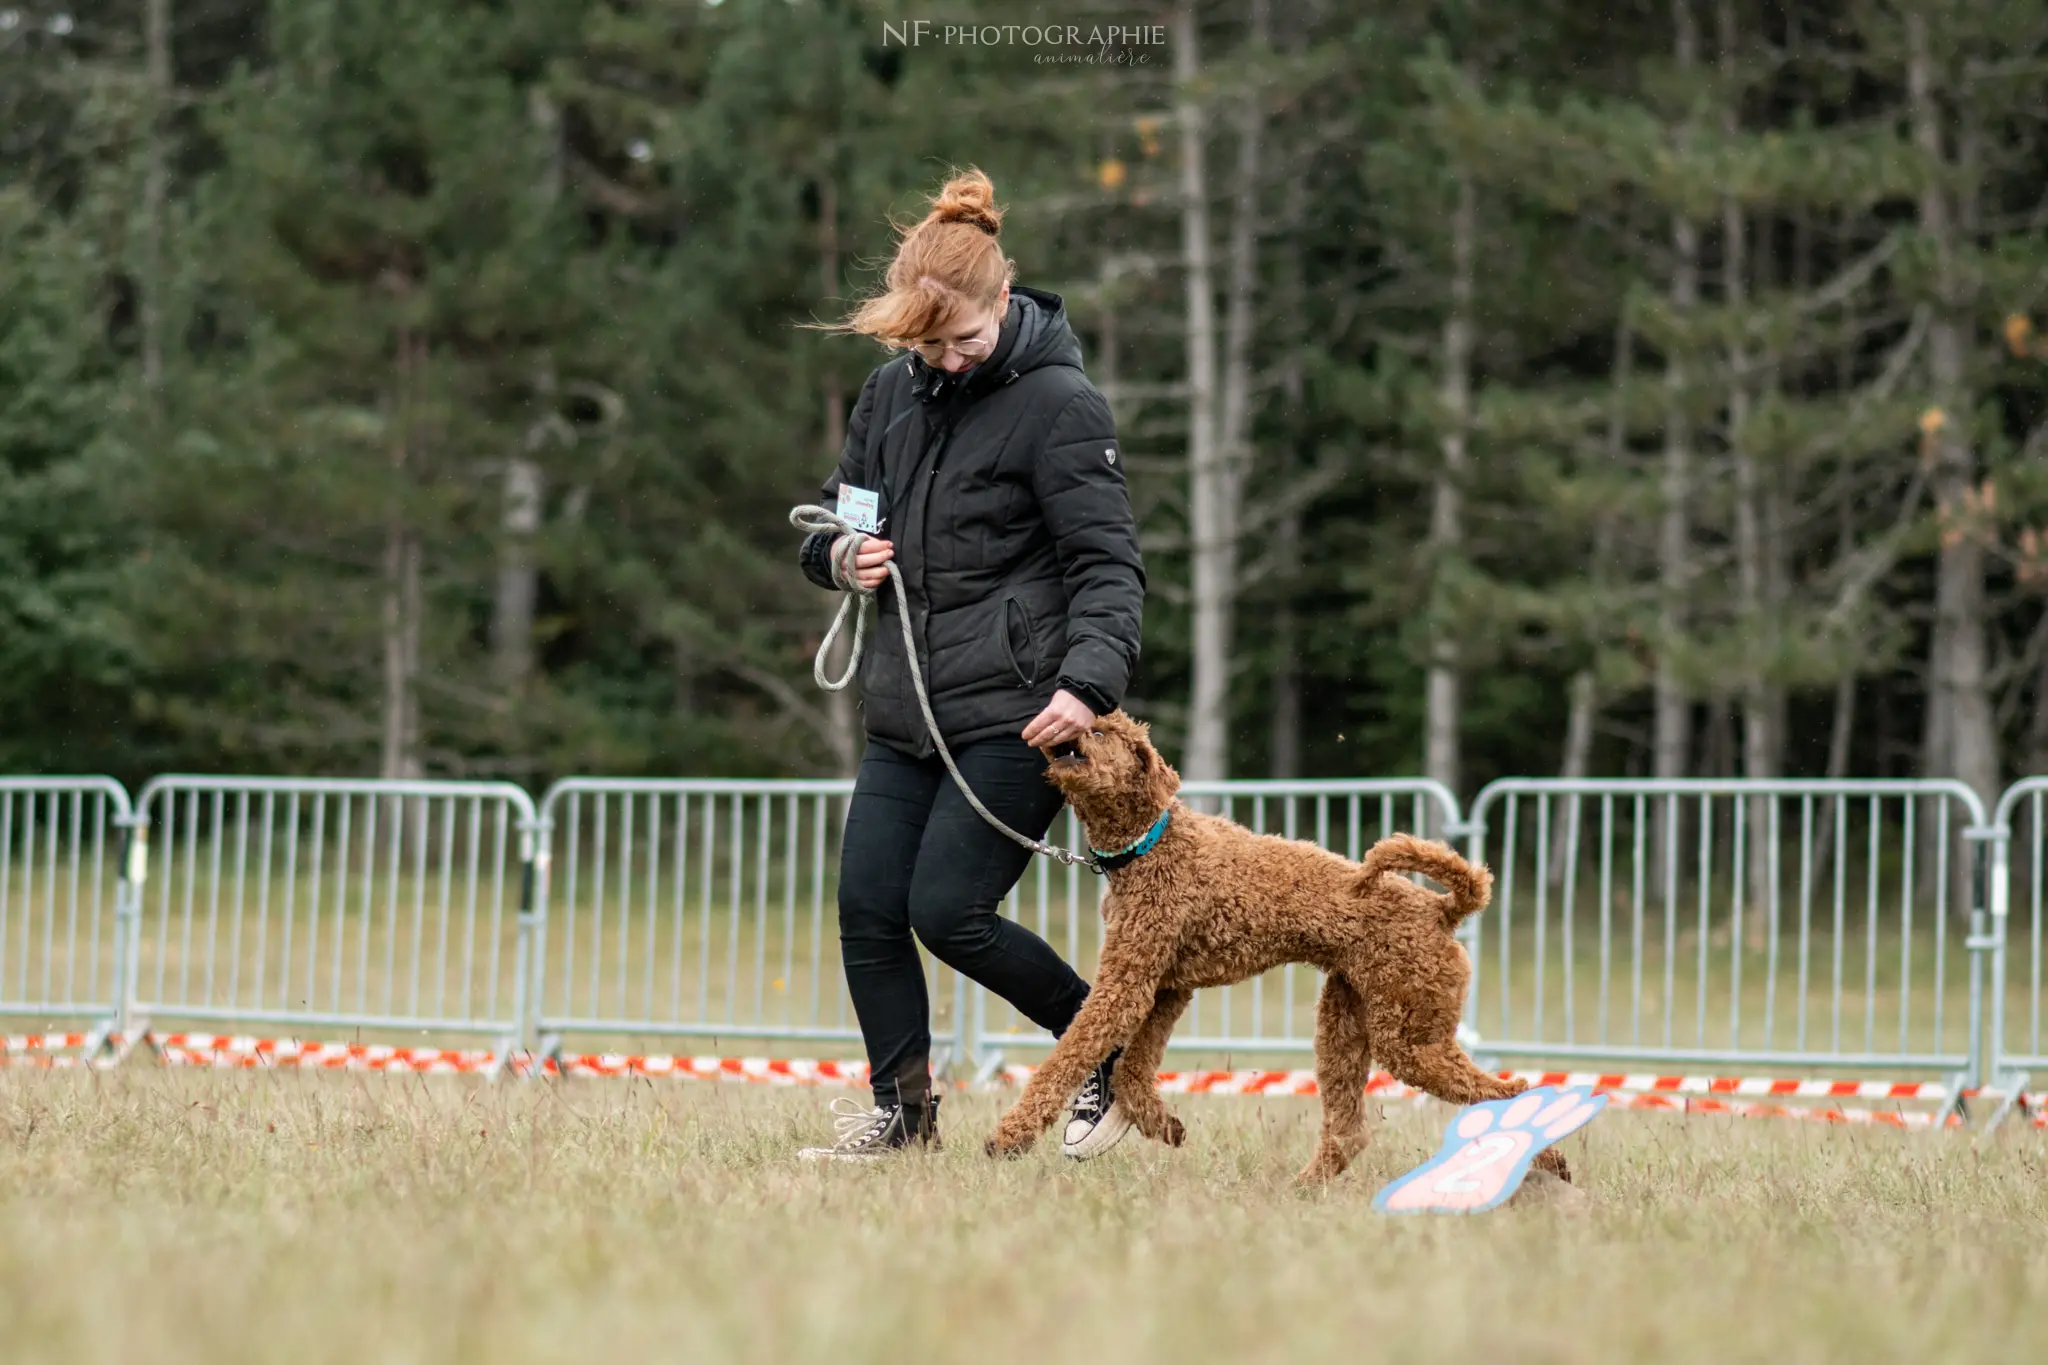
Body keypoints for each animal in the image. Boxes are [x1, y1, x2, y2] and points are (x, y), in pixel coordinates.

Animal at [983, 712, 1572, 1186]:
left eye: (1101, 731)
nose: (1054, 731)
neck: (1150, 842)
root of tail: (1444, 909)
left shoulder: (1128, 983)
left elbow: (1072, 1054)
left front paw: (1008, 1136)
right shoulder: (1165, 987)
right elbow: (1132, 1069)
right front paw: (1161, 1123)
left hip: (1409, 1036)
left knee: (1508, 1090)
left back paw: (1547, 1164)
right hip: (1345, 1023)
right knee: (1350, 1131)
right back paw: (1302, 1192)